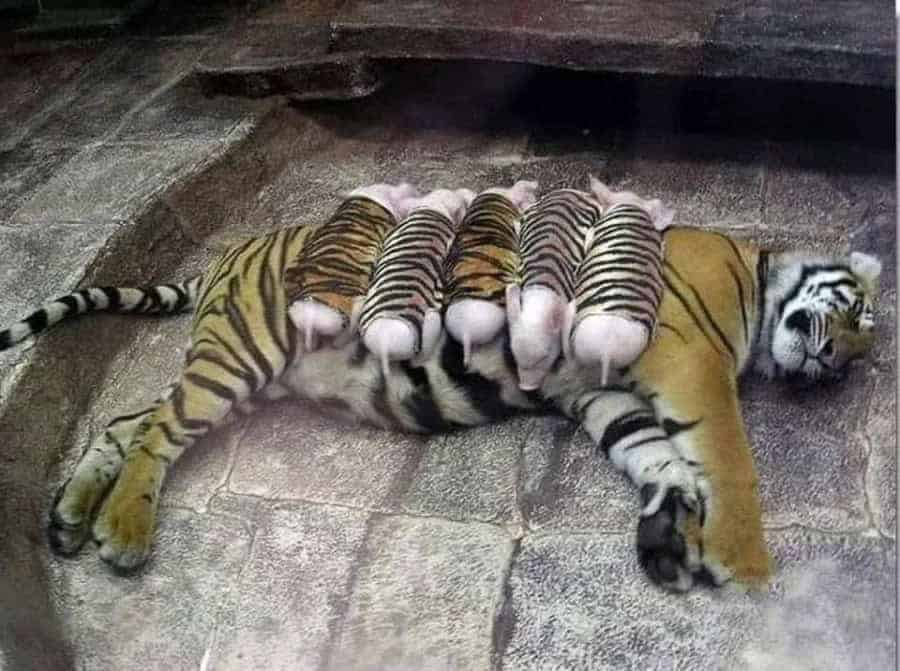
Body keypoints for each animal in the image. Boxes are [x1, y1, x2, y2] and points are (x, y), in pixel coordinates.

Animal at [0, 222, 881, 593]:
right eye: (861, 316)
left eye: (856, 353)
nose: (834, 362)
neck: (758, 280)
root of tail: (236, 248)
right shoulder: (691, 363)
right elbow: (727, 457)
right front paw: (740, 559)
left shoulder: (601, 393)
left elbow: (657, 457)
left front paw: (667, 538)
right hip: (243, 352)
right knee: (156, 432)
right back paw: (122, 531)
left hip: (242, 373)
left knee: (128, 421)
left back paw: (72, 518)